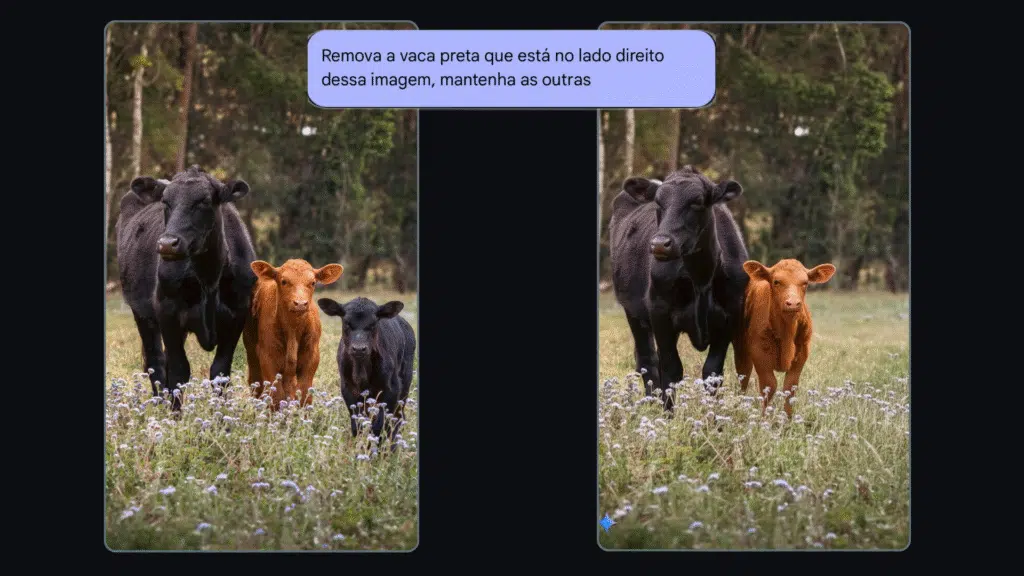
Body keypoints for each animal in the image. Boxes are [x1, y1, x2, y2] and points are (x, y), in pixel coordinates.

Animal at [115, 165, 256, 411]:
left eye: (204, 201)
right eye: (165, 201)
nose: (167, 244)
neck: (209, 278)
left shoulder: (237, 315)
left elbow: (220, 371)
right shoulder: (167, 312)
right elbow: (179, 370)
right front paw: (175, 415)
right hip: (142, 313)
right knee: (156, 361)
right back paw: (160, 404)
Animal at [242, 259, 344, 408]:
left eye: (313, 282)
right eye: (284, 281)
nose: (300, 303)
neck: (292, 331)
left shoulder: (312, 356)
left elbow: (305, 394)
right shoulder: (267, 357)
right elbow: (276, 396)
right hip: (251, 351)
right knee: (256, 383)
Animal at [316, 297, 415, 448]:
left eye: (373, 323)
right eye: (346, 322)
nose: (359, 348)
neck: (361, 370)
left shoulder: (392, 389)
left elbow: (382, 424)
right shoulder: (347, 388)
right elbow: (357, 424)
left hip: (405, 385)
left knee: (398, 417)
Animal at [609, 166, 749, 409]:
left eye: (698, 202)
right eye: (658, 202)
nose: (659, 244)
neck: (701, 277)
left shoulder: (730, 317)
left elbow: (713, 372)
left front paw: (714, 417)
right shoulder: (660, 314)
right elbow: (671, 369)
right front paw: (668, 414)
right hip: (633, 312)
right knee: (647, 359)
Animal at [735, 258, 836, 418]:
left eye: (805, 282)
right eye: (776, 282)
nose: (793, 303)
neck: (786, 332)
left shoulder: (802, 354)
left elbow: (790, 388)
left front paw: (787, 420)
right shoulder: (759, 353)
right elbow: (769, 385)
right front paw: (765, 418)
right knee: (743, 375)